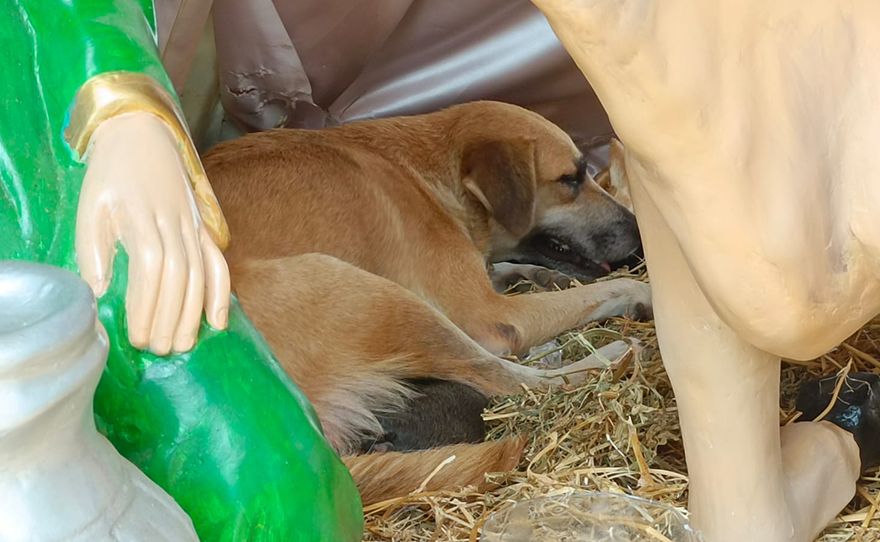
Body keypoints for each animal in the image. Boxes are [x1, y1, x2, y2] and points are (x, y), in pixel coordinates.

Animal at [203, 101, 648, 506]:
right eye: (570, 179)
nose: (639, 233)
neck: (429, 175)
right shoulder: (495, 316)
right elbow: (603, 291)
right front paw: (637, 292)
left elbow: (508, 269)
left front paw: (540, 275)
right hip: (377, 297)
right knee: (519, 381)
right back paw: (613, 355)